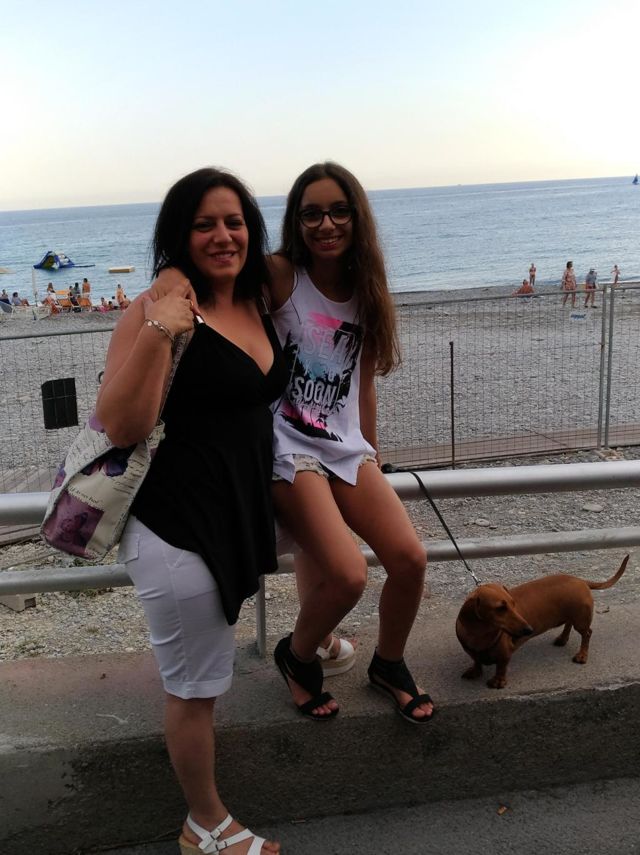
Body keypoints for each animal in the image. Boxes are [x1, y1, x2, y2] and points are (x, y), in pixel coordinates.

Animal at [455, 554, 629, 689]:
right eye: (500, 608)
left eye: (513, 603)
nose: (529, 630)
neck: (480, 635)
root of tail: (581, 580)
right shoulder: (471, 651)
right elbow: (476, 661)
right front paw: (475, 671)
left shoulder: (505, 655)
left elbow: (501, 667)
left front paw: (499, 681)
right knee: (568, 624)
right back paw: (562, 639)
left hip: (581, 620)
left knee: (587, 633)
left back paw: (582, 655)